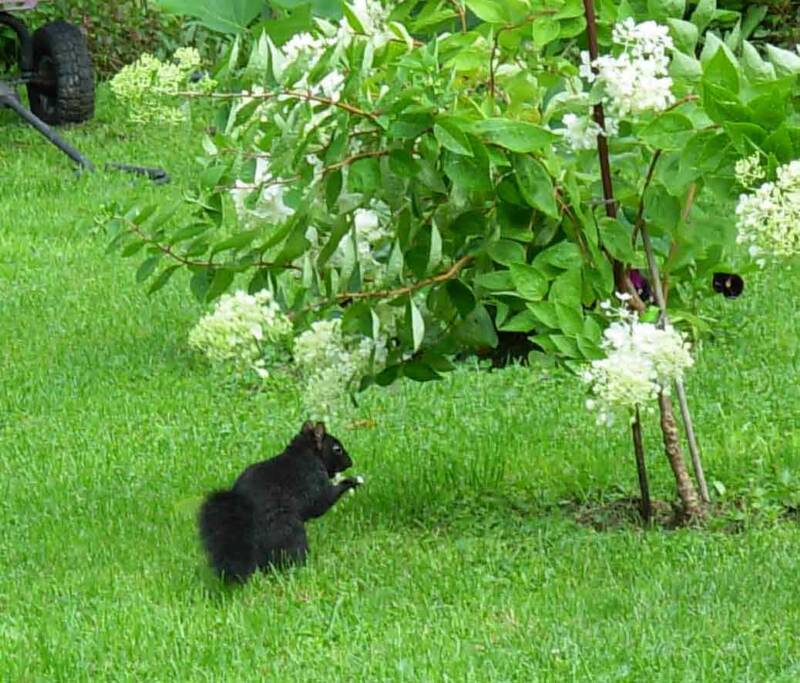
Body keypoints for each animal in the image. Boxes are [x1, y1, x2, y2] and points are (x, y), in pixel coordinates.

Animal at [198, 422, 364, 584]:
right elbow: (321, 502)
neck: (304, 453)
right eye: (337, 449)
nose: (350, 462)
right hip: (289, 531)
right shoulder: (312, 479)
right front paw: (351, 481)